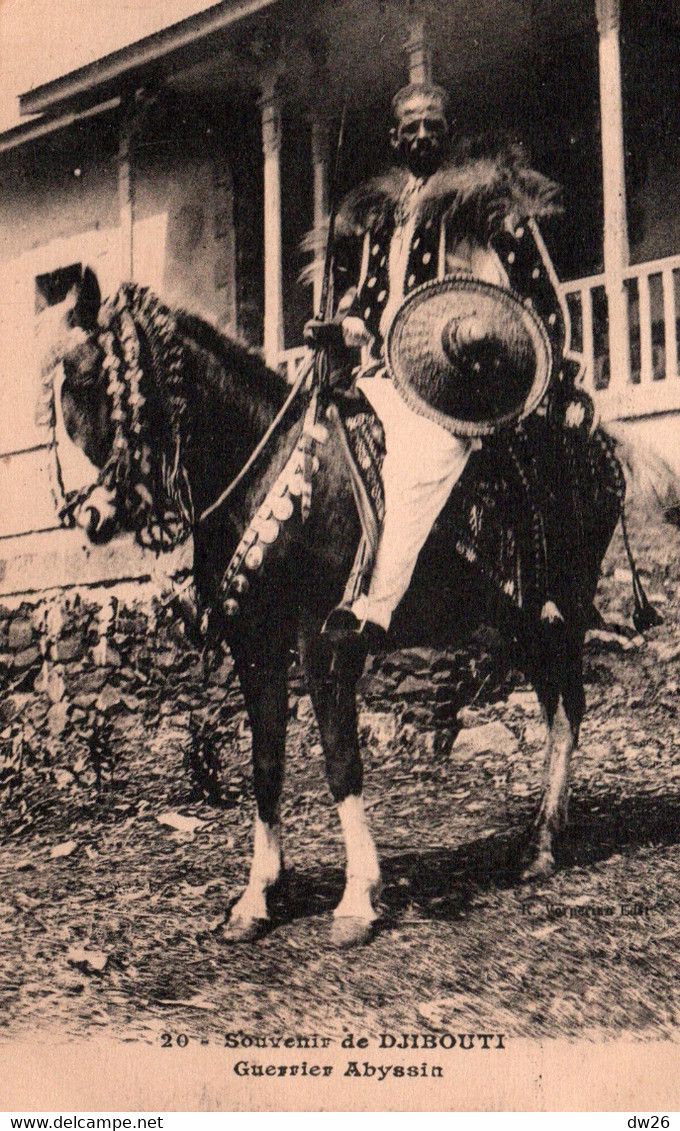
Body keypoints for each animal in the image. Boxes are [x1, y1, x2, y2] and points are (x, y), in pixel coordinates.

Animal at [39, 271, 624, 945]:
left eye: (89, 380)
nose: (88, 514)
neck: (270, 473)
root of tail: (599, 445)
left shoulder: (324, 641)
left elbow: (342, 761)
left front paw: (358, 899)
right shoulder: (255, 647)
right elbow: (266, 766)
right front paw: (258, 897)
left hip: (558, 617)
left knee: (568, 711)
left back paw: (542, 846)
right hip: (520, 624)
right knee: (556, 709)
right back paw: (539, 836)